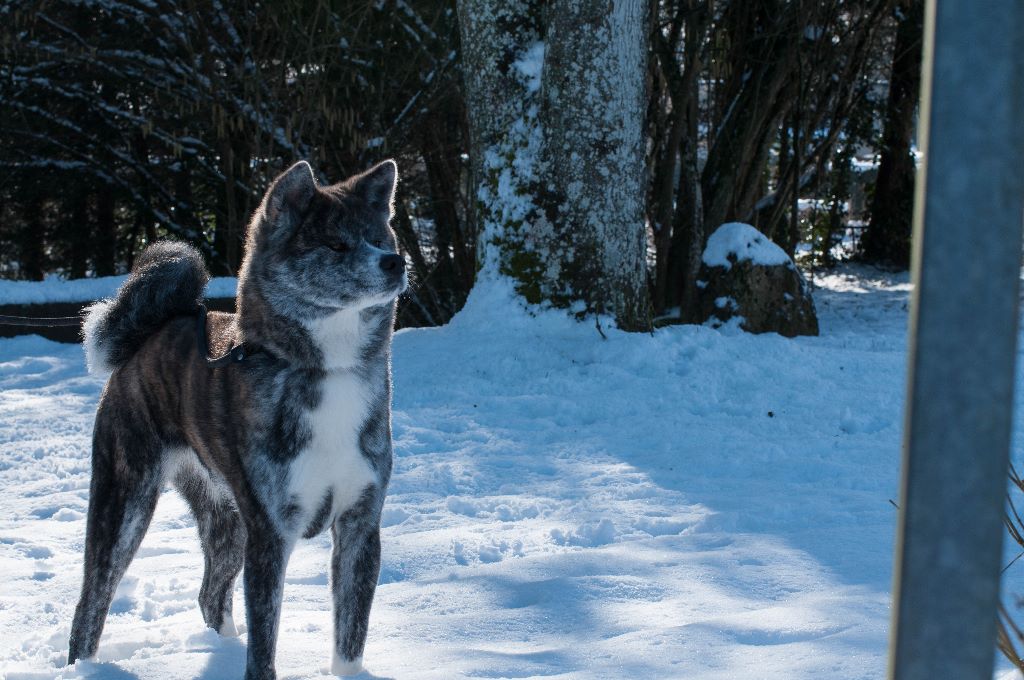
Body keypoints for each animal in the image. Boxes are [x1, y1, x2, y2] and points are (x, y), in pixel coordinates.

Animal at [65, 159, 403, 680]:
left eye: (380, 239)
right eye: (335, 245)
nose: (396, 262)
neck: (328, 369)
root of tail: (147, 336)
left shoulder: (360, 525)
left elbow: (350, 636)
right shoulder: (270, 533)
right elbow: (264, 646)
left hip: (226, 519)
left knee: (211, 594)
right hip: (125, 500)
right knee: (91, 601)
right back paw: (83, 665)